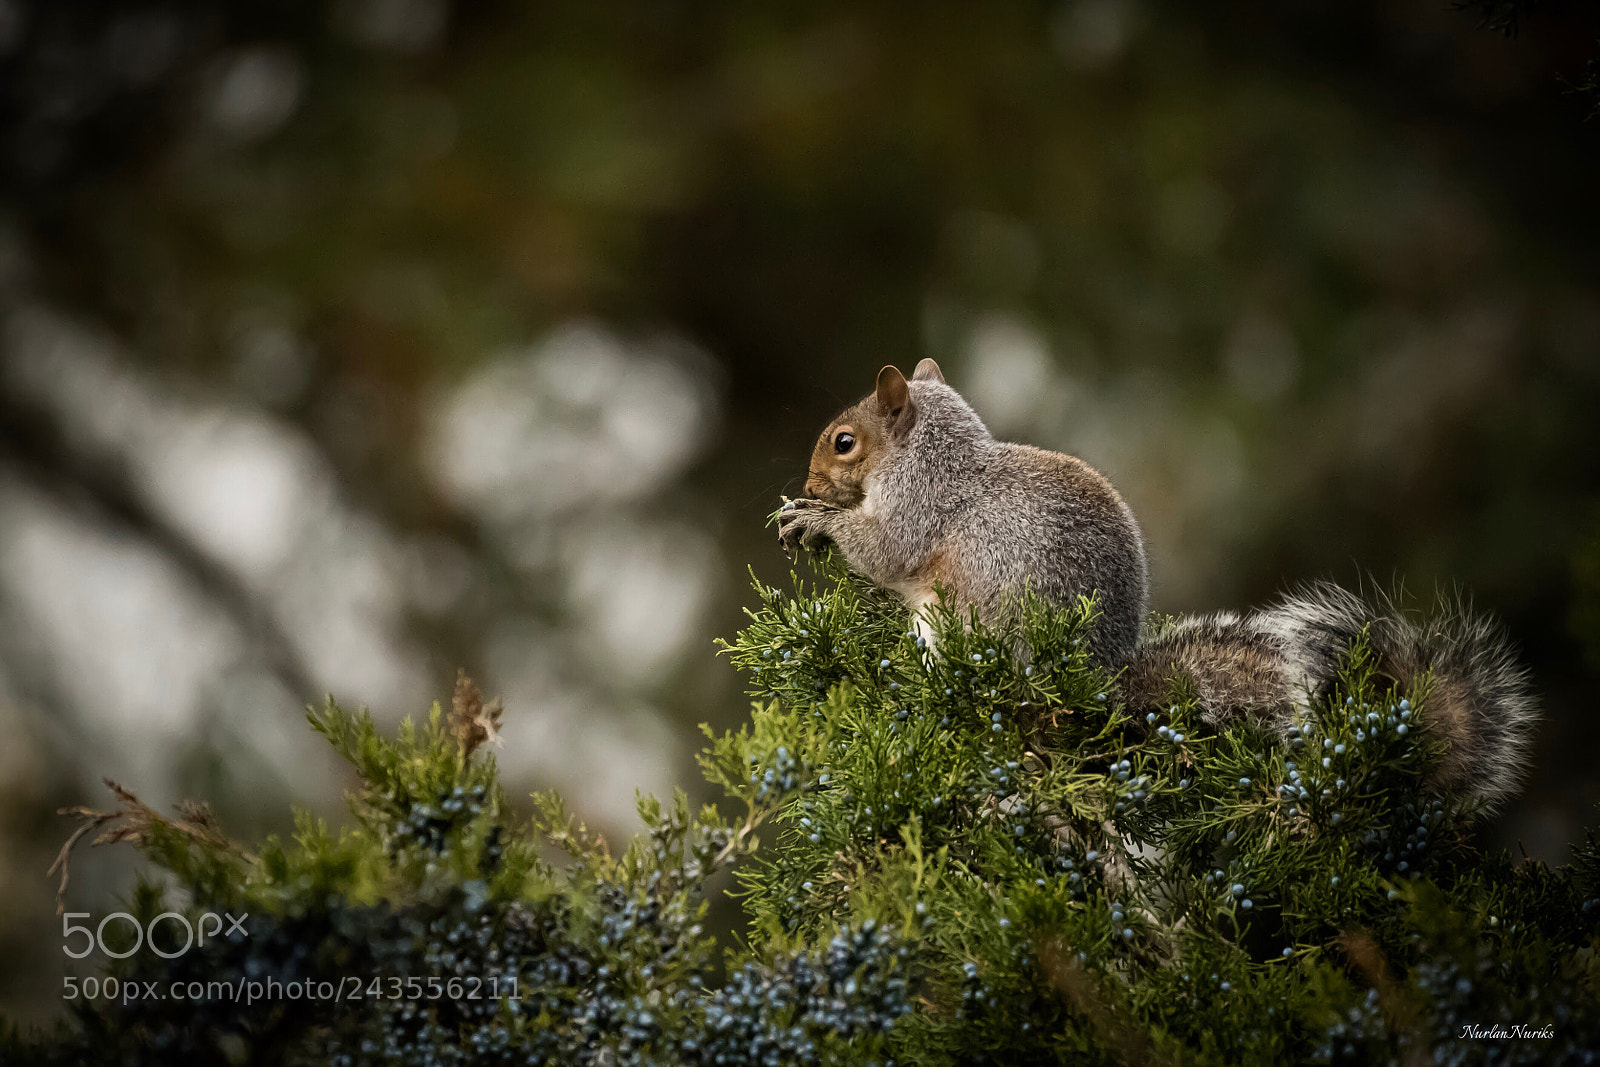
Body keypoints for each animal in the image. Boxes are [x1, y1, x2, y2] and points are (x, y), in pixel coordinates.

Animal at [778, 360, 1538, 814]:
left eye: (844, 441)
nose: (810, 482)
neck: (931, 453)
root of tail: (1098, 686)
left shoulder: (920, 504)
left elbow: (884, 550)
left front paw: (816, 520)